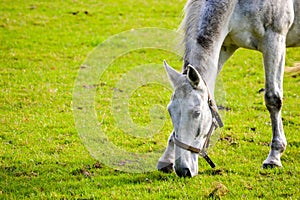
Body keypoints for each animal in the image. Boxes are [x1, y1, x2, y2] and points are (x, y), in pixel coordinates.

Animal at [157, 0, 300, 177]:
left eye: (197, 113)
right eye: (170, 111)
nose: (182, 170)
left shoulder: (275, 40)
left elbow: (273, 99)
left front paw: (274, 157)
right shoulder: (226, 46)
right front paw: (167, 159)